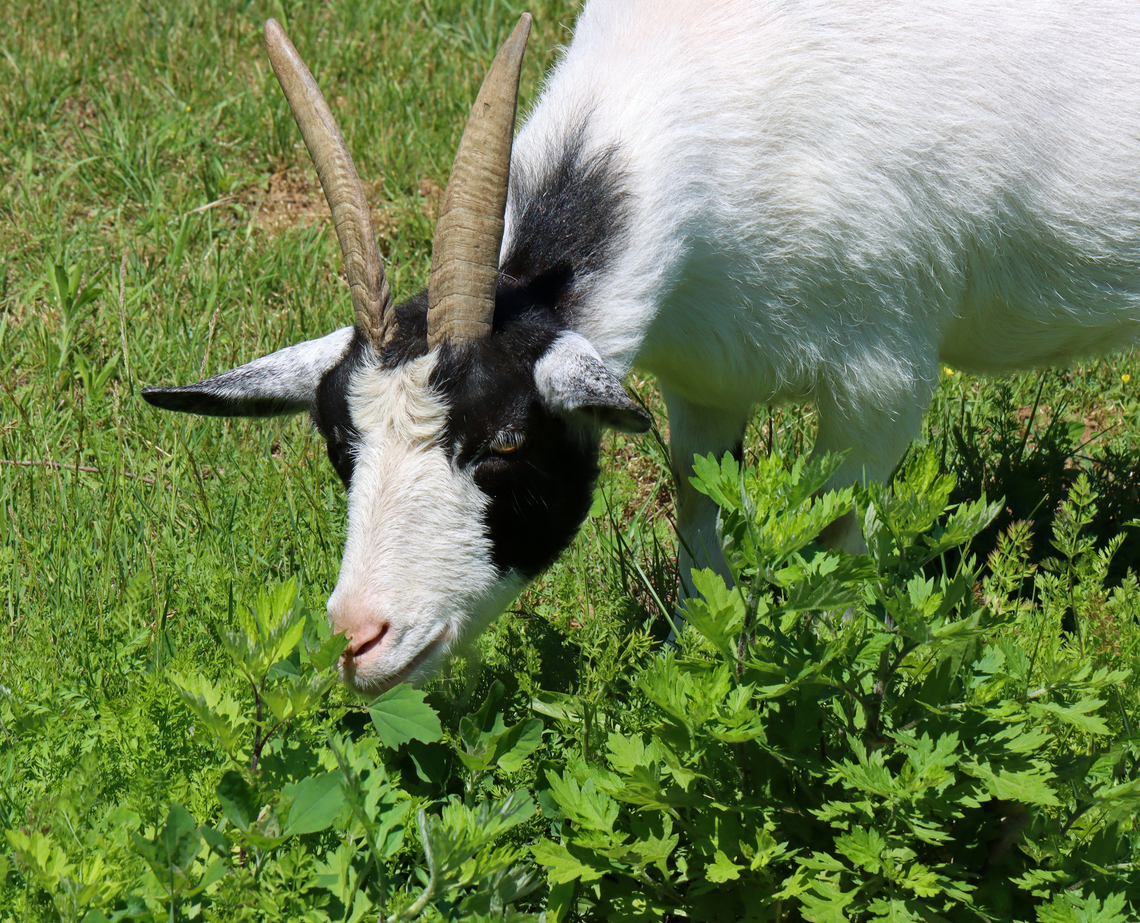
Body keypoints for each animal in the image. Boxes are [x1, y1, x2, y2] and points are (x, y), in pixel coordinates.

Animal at [145, 1, 1140, 695]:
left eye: (507, 442)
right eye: (336, 446)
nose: (360, 639)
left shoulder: (884, 375)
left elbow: (834, 534)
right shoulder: (707, 379)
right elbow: (699, 523)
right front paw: (693, 664)